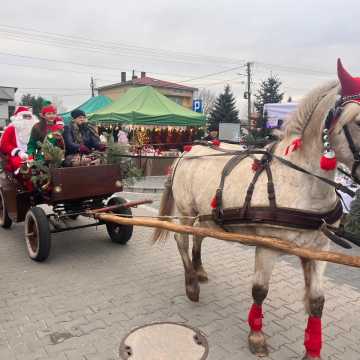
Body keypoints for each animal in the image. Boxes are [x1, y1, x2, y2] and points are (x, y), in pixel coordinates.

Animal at [153, 60, 360, 358]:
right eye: (357, 121)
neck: (300, 181)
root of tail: (186, 151)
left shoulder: (320, 249)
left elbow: (317, 301)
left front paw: (312, 350)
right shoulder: (268, 245)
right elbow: (260, 290)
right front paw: (256, 336)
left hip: (203, 213)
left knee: (199, 237)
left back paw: (199, 271)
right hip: (185, 210)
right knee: (182, 239)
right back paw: (191, 284)